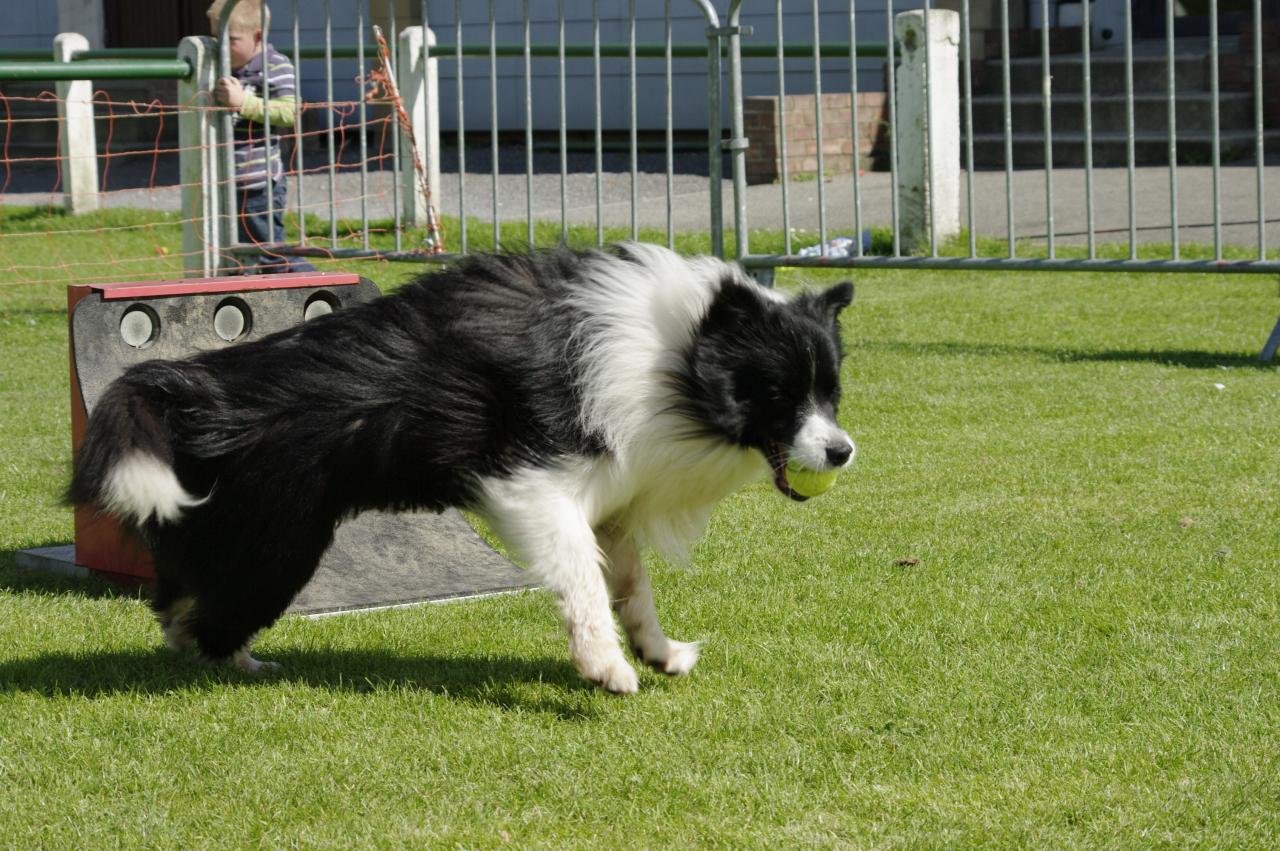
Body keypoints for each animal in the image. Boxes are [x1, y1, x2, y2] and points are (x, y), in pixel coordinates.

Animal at [67, 244, 860, 691]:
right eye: (781, 394)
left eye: (830, 391)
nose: (842, 451)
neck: (674, 354)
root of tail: (199, 389)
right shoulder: (534, 483)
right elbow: (583, 581)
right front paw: (606, 667)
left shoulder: (613, 491)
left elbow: (633, 586)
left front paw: (659, 651)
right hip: (277, 548)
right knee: (201, 617)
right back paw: (233, 662)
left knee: (175, 601)